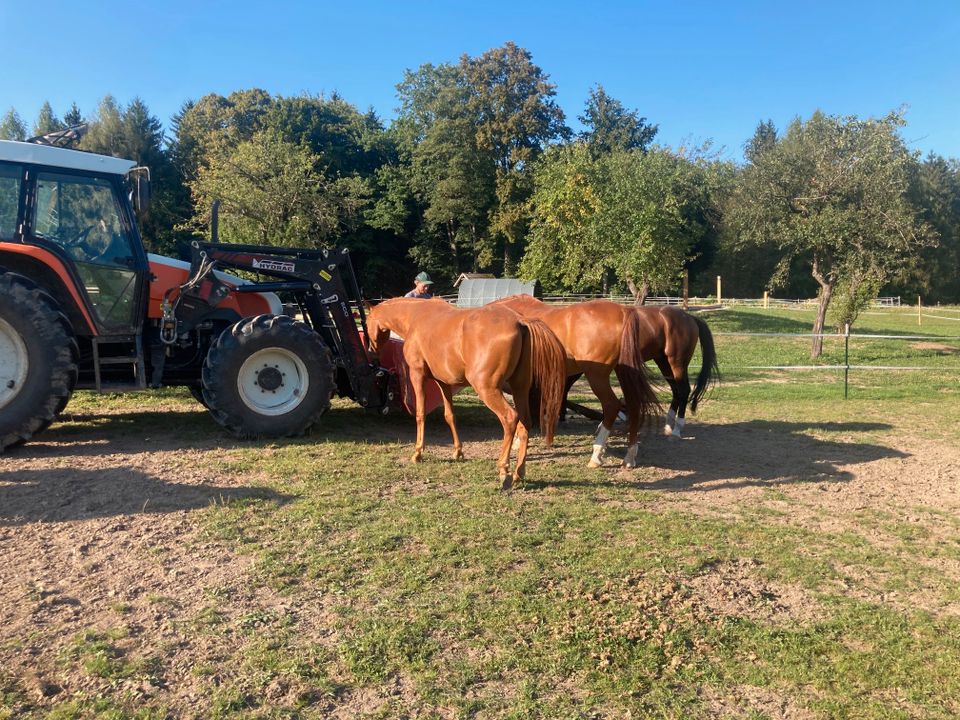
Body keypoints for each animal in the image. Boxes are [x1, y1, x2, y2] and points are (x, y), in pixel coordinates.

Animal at [492, 296, 664, 470]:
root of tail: (623, 311)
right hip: (623, 370)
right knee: (634, 405)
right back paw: (629, 457)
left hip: (596, 376)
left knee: (611, 406)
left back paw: (596, 455)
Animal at [496, 296, 712, 448]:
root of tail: (689, 317)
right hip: (664, 362)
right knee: (676, 391)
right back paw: (668, 426)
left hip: (676, 362)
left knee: (682, 390)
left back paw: (676, 430)